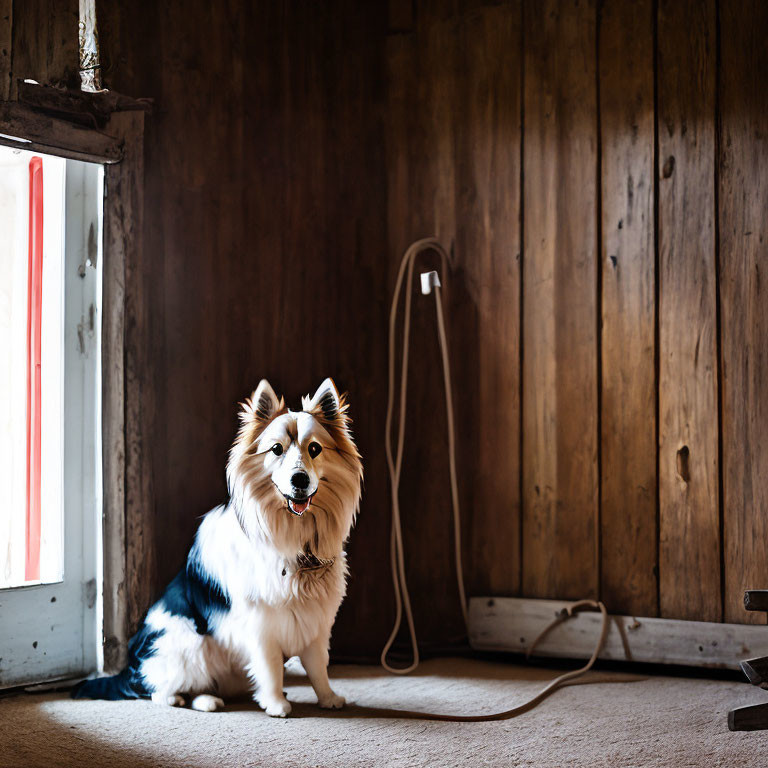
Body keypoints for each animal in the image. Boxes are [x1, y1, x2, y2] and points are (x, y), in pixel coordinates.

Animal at [73, 380, 362, 716]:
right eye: (276, 449)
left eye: (314, 449)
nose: (299, 479)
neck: (295, 535)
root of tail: (131, 667)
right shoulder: (260, 623)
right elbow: (270, 666)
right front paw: (276, 703)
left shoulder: (315, 621)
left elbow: (318, 666)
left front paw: (327, 697)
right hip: (187, 642)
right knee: (158, 689)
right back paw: (187, 699)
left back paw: (210, 698)